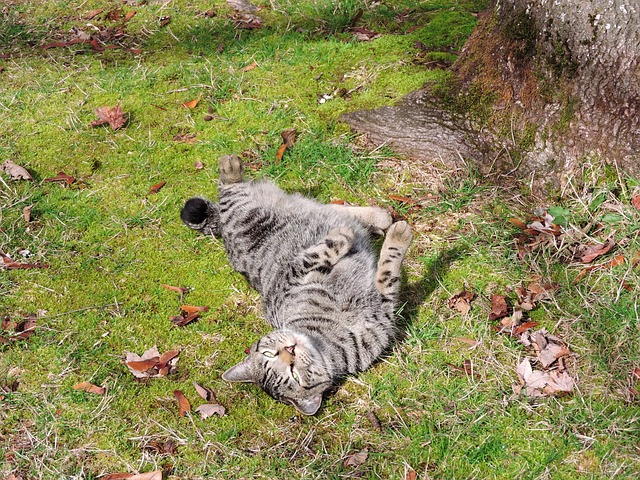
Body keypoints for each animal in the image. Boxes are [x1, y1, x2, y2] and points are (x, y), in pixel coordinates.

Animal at [180, 155, 412, 416]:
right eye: (294, 375)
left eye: (268, 353)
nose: (289, 350)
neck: (326, 333)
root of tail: (223, 232)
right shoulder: (383, 307)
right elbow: (384, 269)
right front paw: (386, 237)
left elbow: (322, 254)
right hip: (241, 213)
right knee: (227, 191)